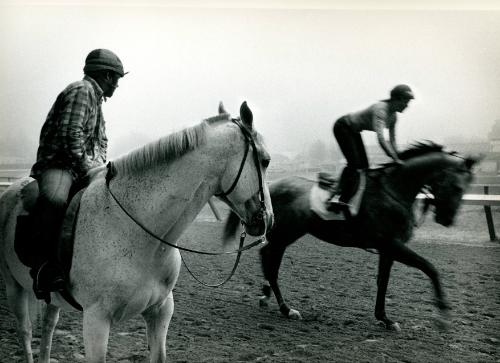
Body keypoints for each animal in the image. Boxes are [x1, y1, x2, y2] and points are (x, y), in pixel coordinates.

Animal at [0, 101, 274, 362]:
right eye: (266, 160)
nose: (268, 220)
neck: (135, 232)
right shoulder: (96, 320)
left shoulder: (160, 312)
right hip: (14, 288)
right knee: (25, 332)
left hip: (52, 300)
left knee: (48, 328)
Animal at [225, 144, 482, 332]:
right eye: (458, 186)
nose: (448, 219)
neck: (392, 192)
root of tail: (270, 188)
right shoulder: (392, 244)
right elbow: (430, 268)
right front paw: (442, 316)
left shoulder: (387, 249)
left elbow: (383, 282)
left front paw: (384, 319)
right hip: (284, 235)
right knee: (271, 265)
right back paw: (286, 308)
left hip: (285, 235)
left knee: (266, 257)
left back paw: (266, 295)